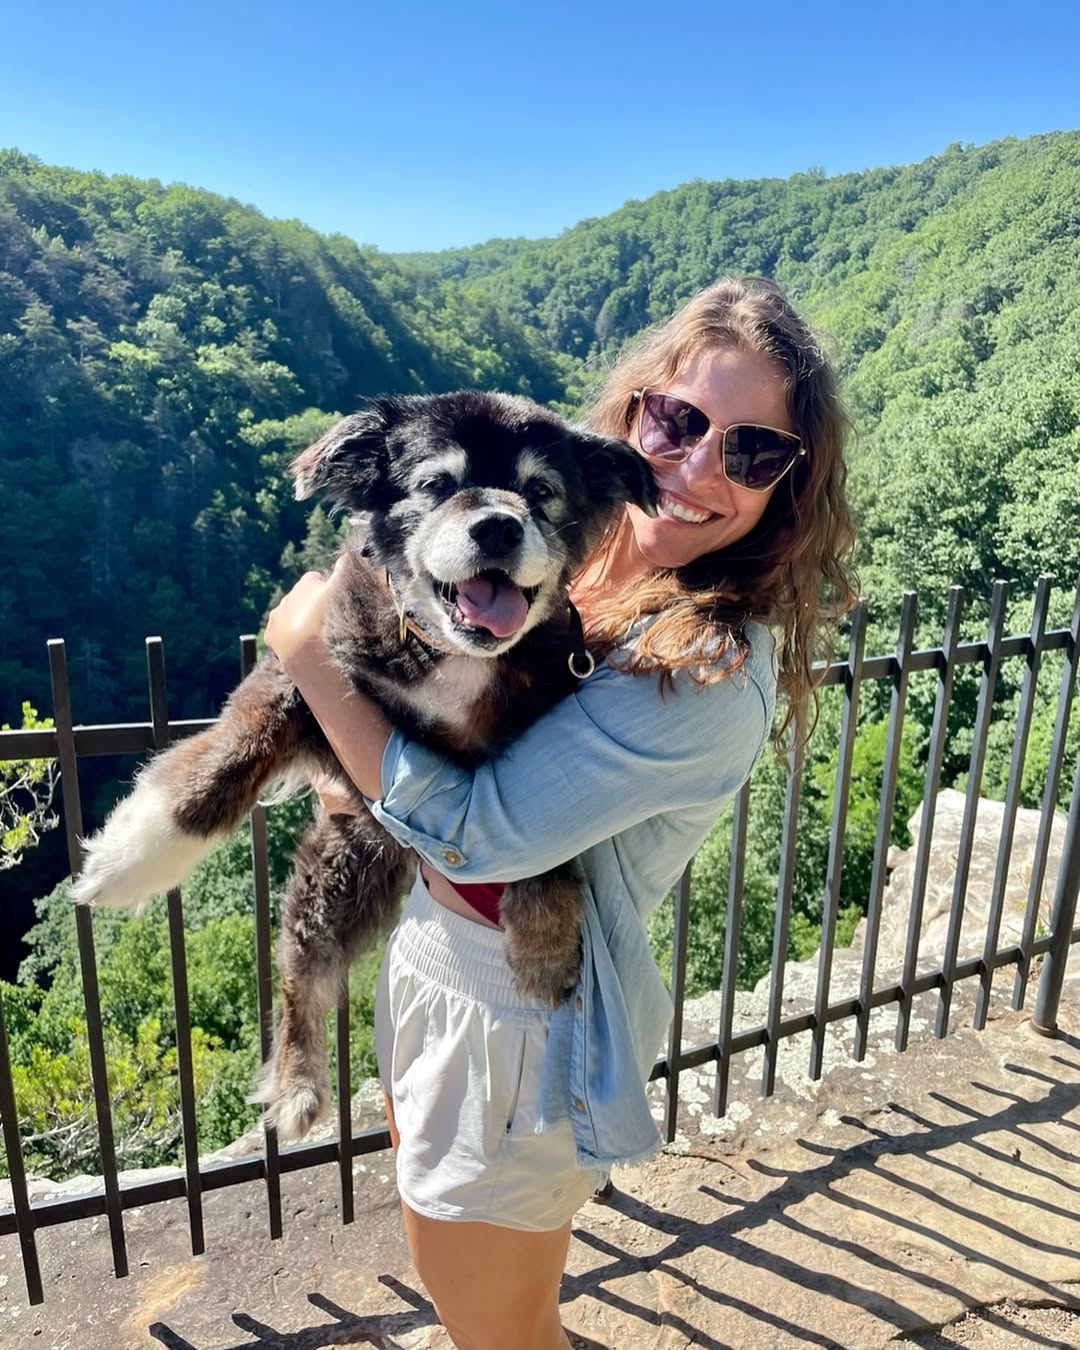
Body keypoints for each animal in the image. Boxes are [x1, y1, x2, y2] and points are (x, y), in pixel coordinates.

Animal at [73, 391, 658, 1139]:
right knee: (302, 978)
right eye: (435, 484)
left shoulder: (548, 732)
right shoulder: (305, 674)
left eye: (541, 491)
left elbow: (551, 848)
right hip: (333, 880)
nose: (498, 527)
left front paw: (546, 943)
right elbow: (225, 760)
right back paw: (297, 1081)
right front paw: (132, 855)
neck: (452, 655)